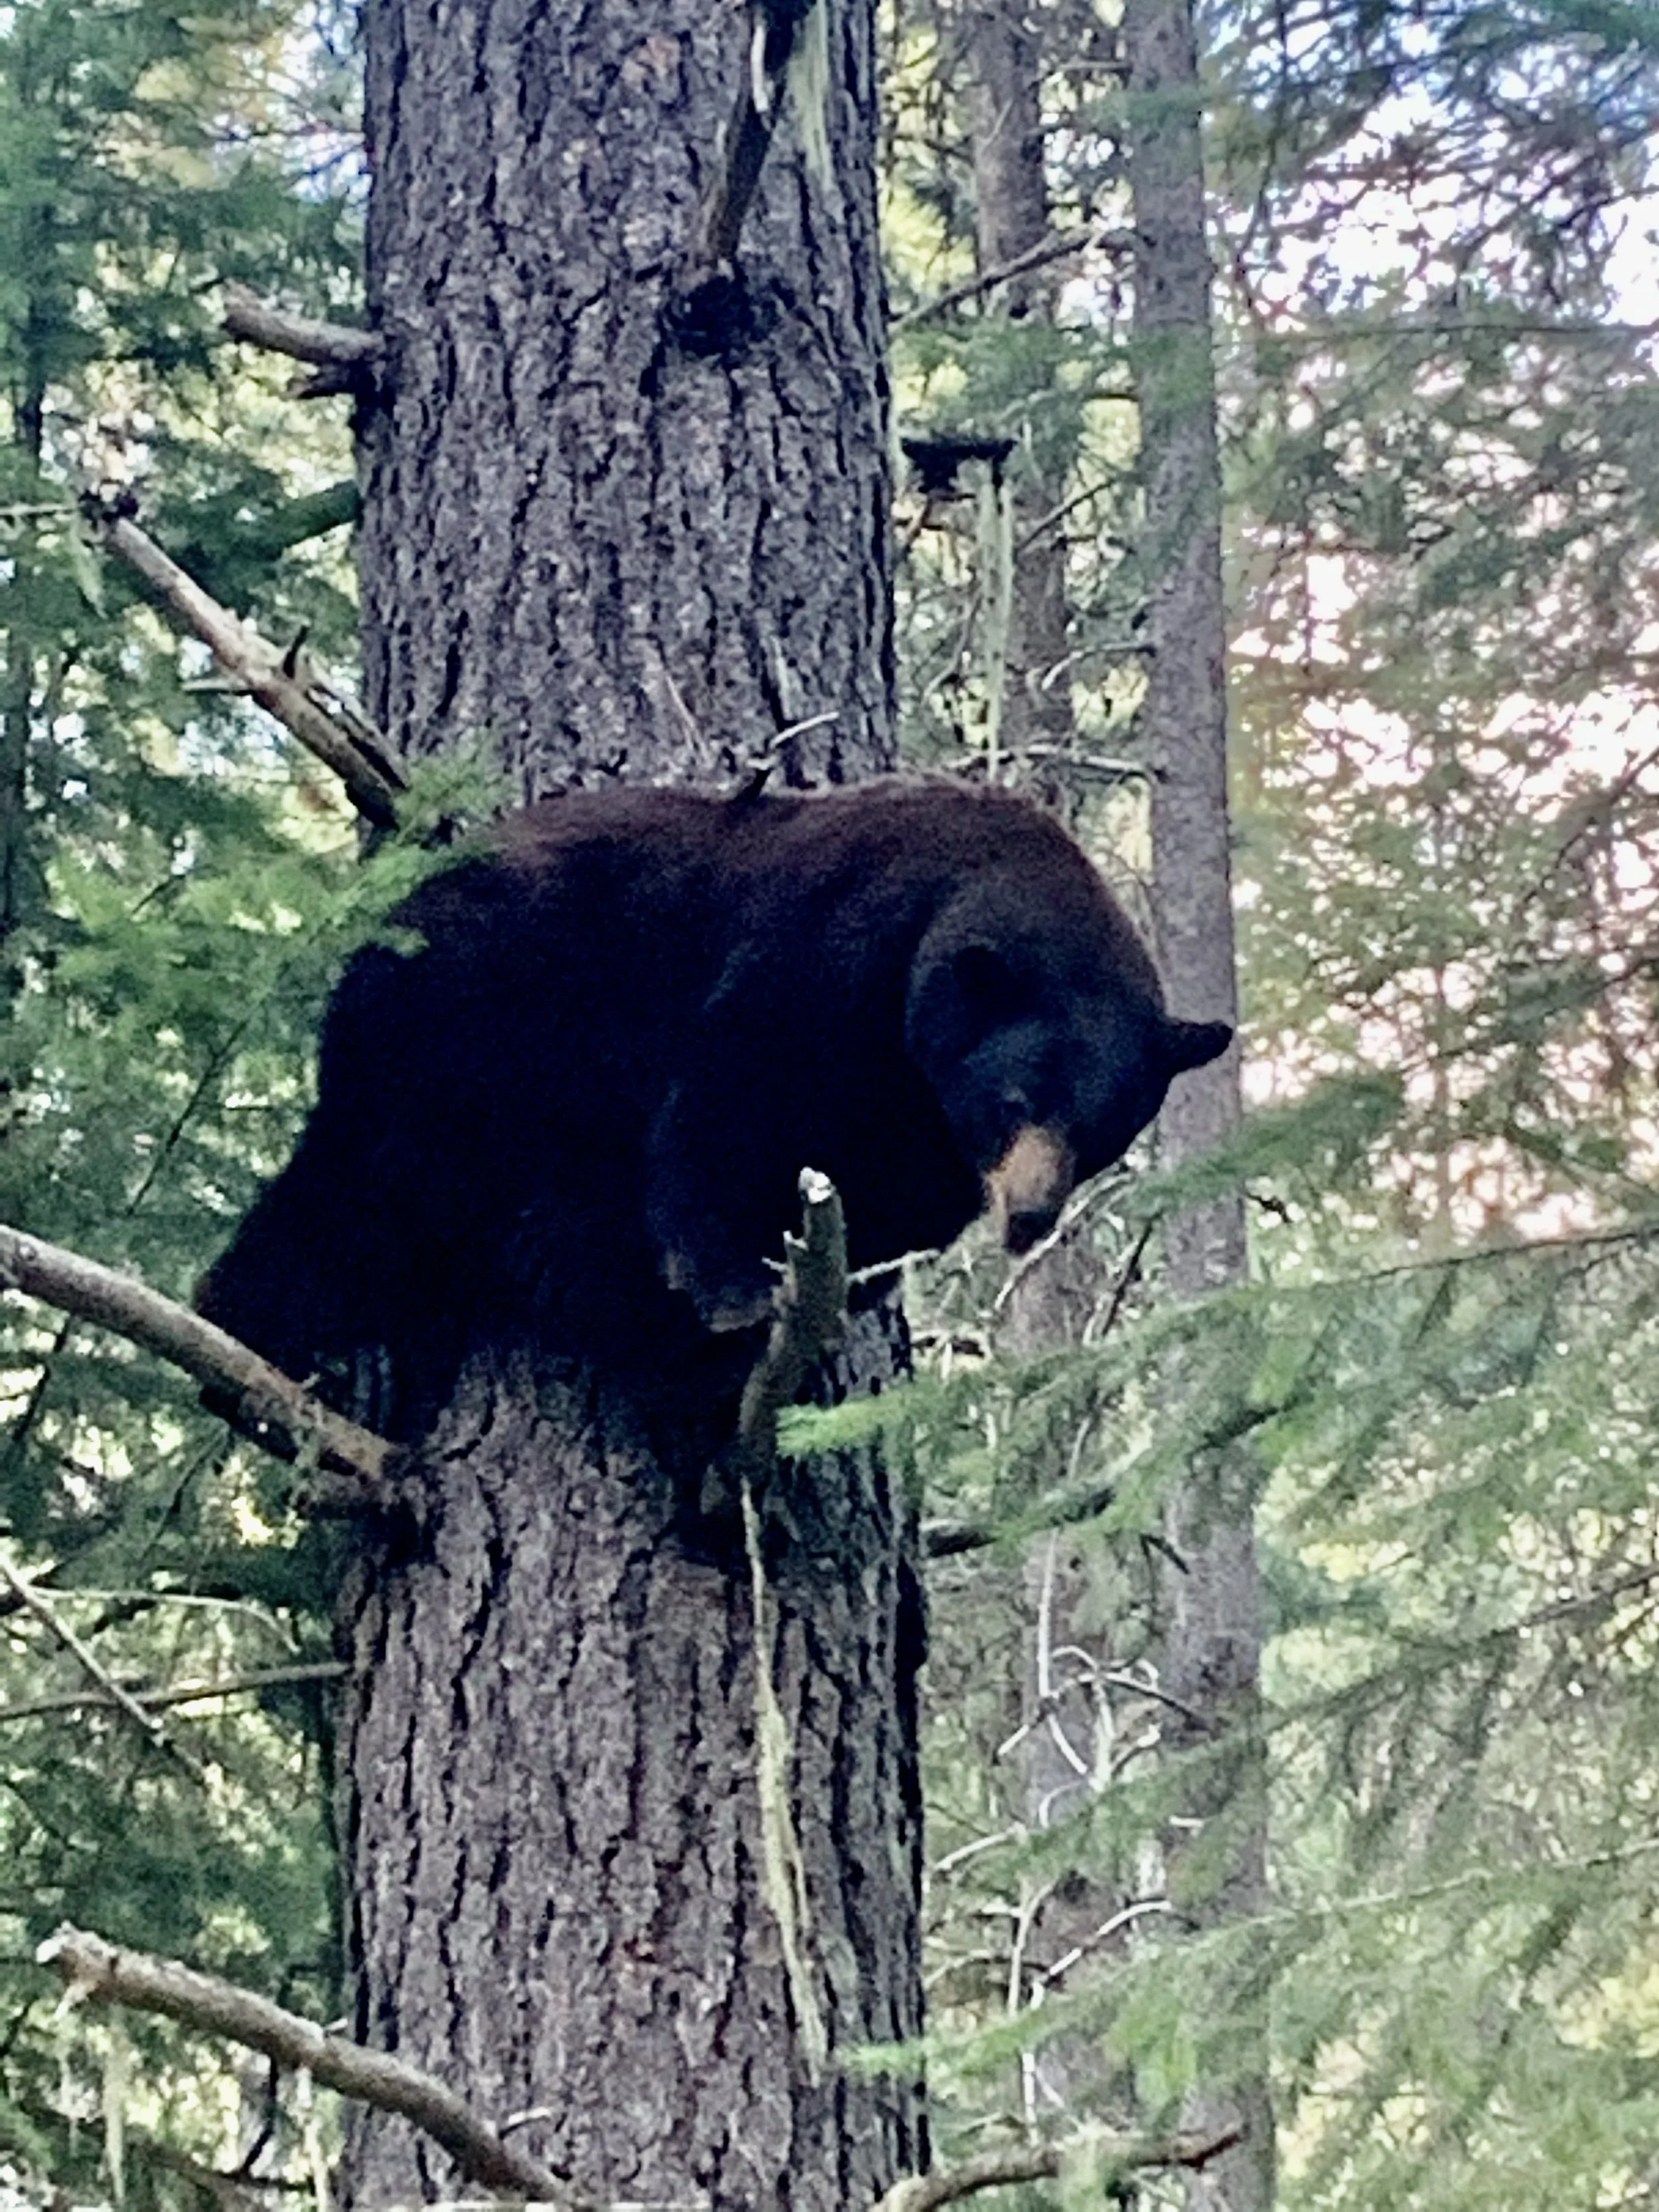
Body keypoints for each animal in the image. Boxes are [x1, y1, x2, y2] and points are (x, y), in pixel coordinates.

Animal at [196, 779, 1230, 1433]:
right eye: (1015, 1100)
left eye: (1100, 1136)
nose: (1028, 1215)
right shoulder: (829, 958)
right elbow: (733, 1105)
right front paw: (735, 1293)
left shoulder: (917, 1131)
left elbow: (882, 1220)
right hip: (468, 1024)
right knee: (371, 1195)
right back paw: (281, 1350)